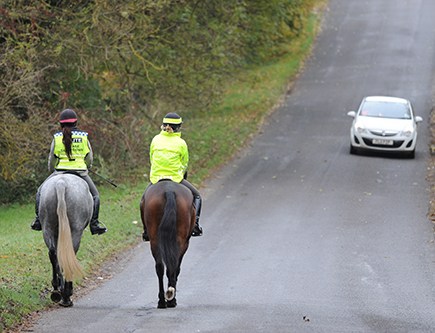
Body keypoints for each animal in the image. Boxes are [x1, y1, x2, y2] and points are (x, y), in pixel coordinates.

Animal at [39, 174, 93, 306]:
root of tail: (61, 183)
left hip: (47, 227)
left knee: (53, 254)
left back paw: (56, 291)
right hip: (75, 231)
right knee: (70, 255)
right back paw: (67, 295)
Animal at [140, 180, 196, 308]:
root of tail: (169, 191)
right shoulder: (186, 243)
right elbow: (177, 268)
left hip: (155, 240)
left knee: (159, 267)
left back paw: (162, 300)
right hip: (181, 241)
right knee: (173, 266)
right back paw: (171, 299)